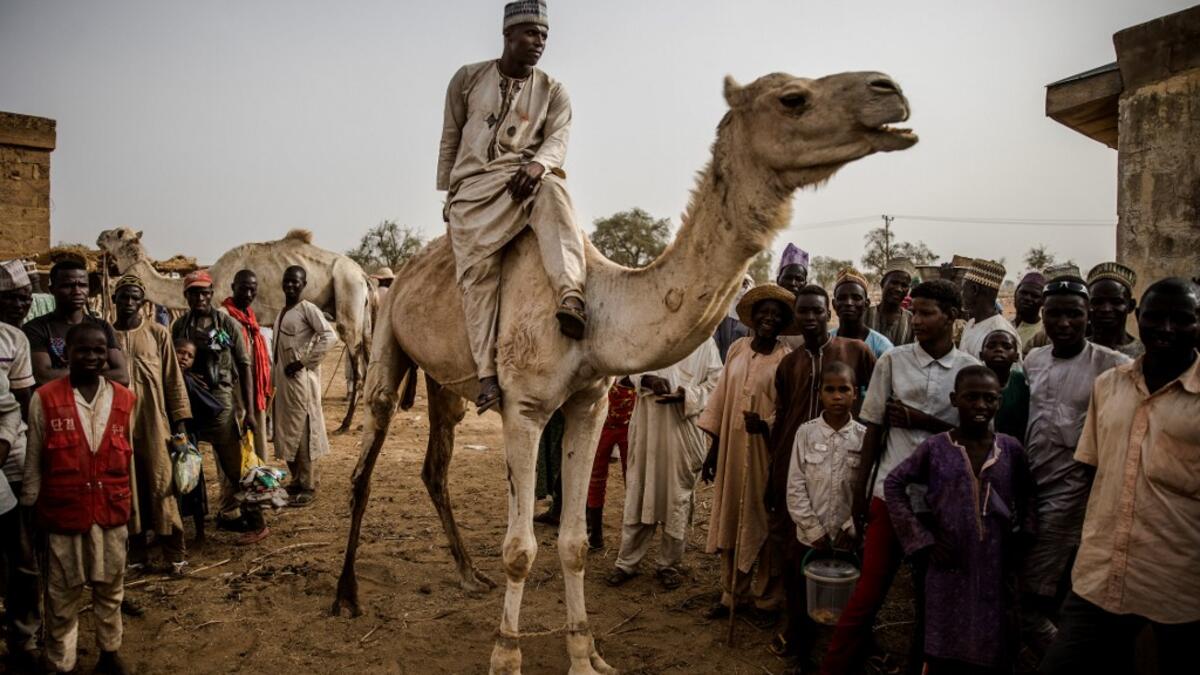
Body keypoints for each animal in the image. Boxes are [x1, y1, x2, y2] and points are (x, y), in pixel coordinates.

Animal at [95, 227, 374, 432]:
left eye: (117, 233)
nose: (100, 235)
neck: (218, 279)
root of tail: (362, 273)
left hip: (347, 293)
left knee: (356, 357)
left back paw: (346, 423)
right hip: (362, 310)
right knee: (369, 352)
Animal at [332, 70, 918, 674]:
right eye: (792, 99)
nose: (889, 90)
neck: (596, 309)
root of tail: (405, 271)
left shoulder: (588, 401)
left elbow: (572, 543)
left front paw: (586, 654)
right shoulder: (524, 408)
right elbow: (520, 549)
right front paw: (506, 656)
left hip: (444, 379)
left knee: (435, 463)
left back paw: (470, 576)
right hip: (386, 330)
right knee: (365, 462)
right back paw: (346, 596)